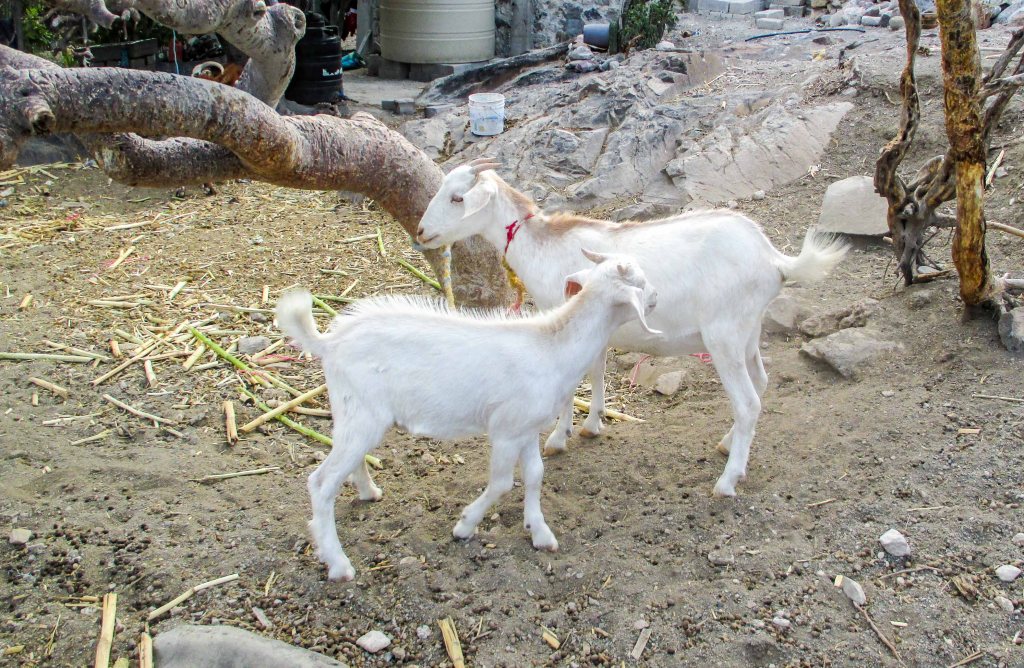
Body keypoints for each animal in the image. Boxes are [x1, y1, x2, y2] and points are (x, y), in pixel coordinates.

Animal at [276, 250, 659, 581]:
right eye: (640, 283)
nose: (656, 296)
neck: (552, 349)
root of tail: (329, 343)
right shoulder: (505, 429)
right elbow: (503, 483)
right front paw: (464, 525)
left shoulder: (526, 428)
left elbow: (535, 475)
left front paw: (540, 533)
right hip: (360, 412)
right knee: (321, 482)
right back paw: (338, 563)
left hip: (358, 415)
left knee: (348, 460)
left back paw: (369, 493)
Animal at [415, 158, 849, 498]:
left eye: (457, 198)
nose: (421, 232)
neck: (544, 249)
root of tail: (774, 258)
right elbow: (597, 374)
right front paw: (592, 426)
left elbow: (570, 386)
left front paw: (557, 439)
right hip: (749, 331)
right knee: (759, 384)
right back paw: (729, 445)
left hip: (723, 335)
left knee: (747, 402)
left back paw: (727, 482)